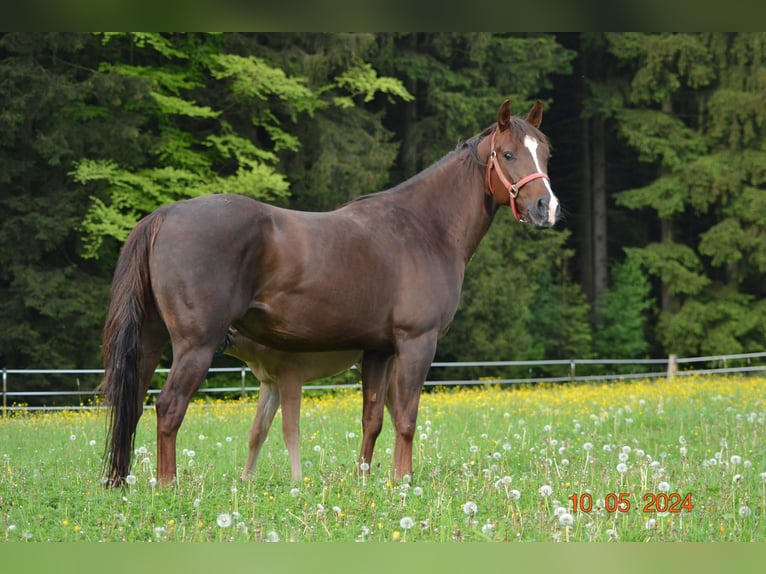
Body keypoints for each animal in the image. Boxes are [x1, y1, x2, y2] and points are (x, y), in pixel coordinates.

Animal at [224, 326, 362, 484]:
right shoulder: (270, 383)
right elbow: (258, 430)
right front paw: (246, 477)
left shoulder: (290, 374)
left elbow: (290, 429)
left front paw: (297, 480)